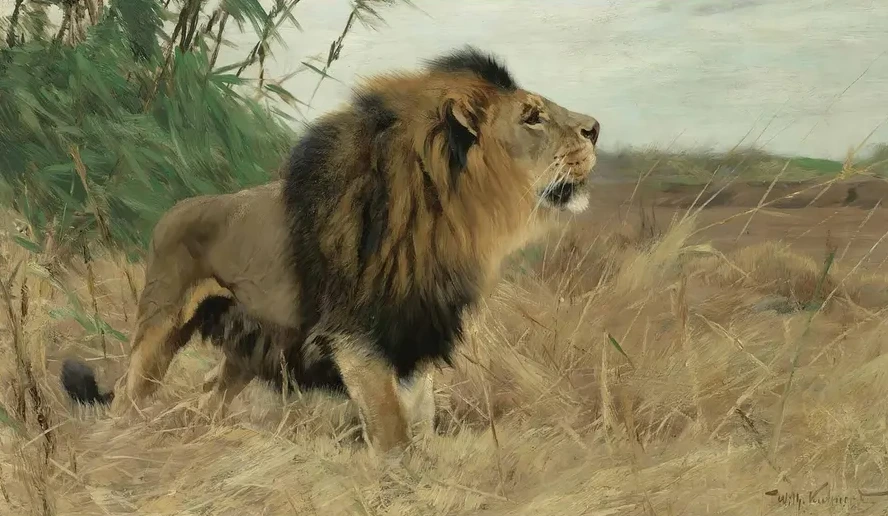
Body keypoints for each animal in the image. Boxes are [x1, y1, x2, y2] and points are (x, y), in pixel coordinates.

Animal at [60, 46, 602, 453]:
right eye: (532, 117)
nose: (595, 128)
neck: (448, 217)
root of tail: (174, 209)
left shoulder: (413, 331)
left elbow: (421, 420)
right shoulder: (355, 335)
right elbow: (392, 429)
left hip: (250, 344)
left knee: (209, 393)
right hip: (160, 326)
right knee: (128, 396)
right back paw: (122, 444)